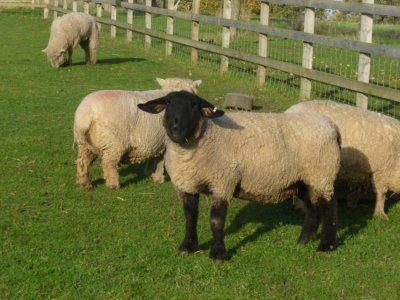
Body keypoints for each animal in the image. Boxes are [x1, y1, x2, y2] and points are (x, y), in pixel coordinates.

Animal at [73, 78, 202, 190]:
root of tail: (86, 114)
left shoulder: (155, 140)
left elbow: (154, 157)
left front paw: (149, 172)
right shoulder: (164, 143)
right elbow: (160, 161)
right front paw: (158, 178)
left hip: (86, 144)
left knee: (83, 162)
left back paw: (86, 184)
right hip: (113, 143)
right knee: (108, 164)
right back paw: (114, 184)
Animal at [138, 91, 340, 260]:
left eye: (194, 105)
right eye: (168, 103)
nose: (176, 129)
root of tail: (331, 125)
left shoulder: (223, 181)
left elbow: (216, 220)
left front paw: (218, 254)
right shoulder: (188, 184)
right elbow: (190, 217)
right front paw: (187, 246)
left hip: (322, 175)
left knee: (329, 210)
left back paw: (326, 246)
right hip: (304, 181)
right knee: (313, 209)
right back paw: (305, 240)